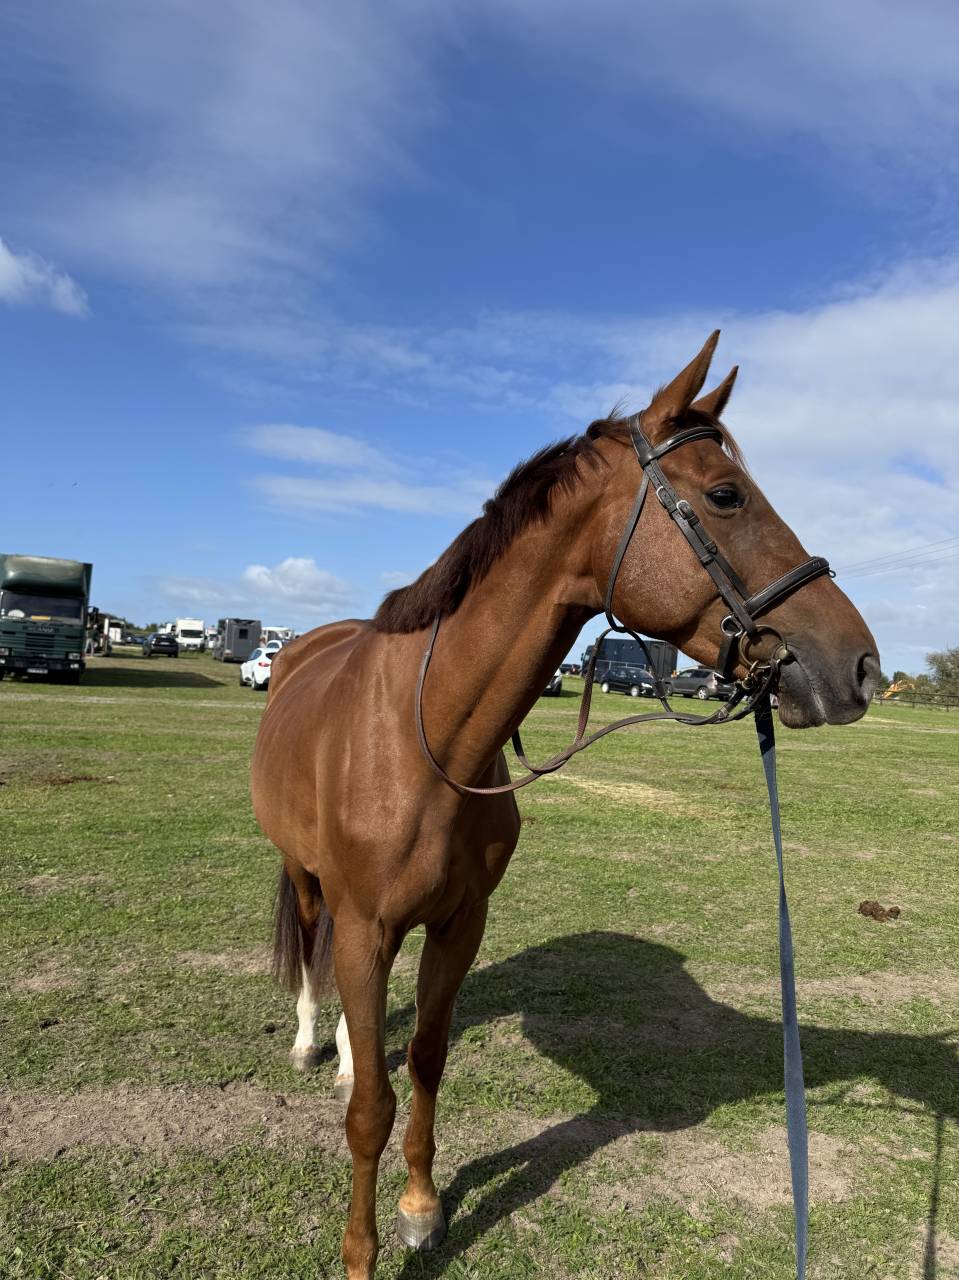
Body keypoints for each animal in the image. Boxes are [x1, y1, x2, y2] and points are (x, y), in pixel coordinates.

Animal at [250, 332, 879, 1279]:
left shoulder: (458, 924)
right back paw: (309, 1043)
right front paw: (362, 1253)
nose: (859, 667)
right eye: (725, 495)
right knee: (313, 949)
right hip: (308, 877)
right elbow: (371, 1111)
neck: (427, 743)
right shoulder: (368, 923)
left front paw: (420, 1208)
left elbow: (424, 1063)